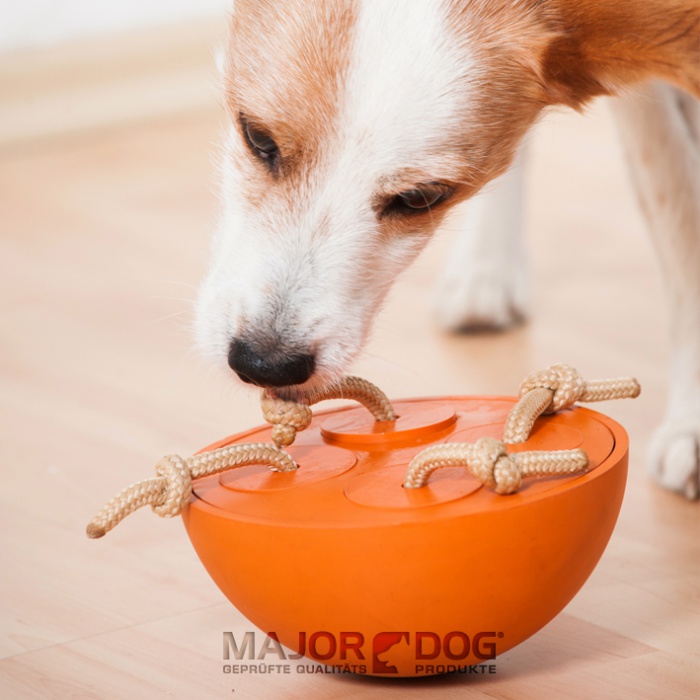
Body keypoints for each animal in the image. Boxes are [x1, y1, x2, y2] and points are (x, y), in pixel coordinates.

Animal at [194, 0, 700, 498]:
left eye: (422, 197)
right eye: (258, 137)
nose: (266, 363)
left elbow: (681, 220)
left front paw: (690, 424)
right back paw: (484, 271)